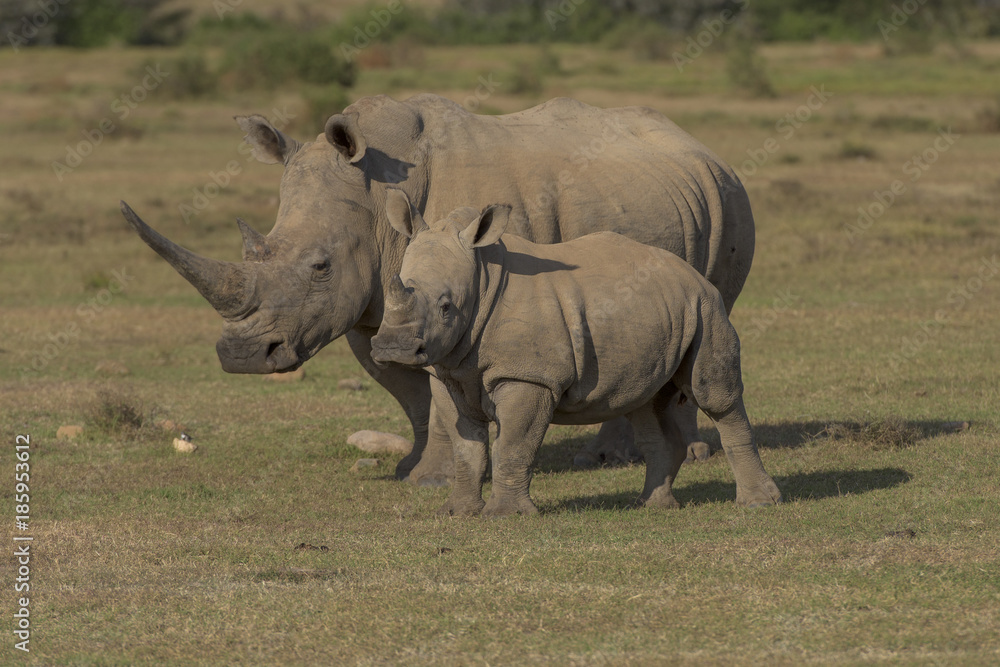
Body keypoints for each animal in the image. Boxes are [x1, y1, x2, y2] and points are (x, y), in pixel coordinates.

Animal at [120, 94, 755, 485]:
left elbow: (438, 388)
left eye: (321, 266)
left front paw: (434, 480)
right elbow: (411, 392)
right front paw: (415, 472)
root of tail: (698, 145)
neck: (374, 194)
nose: (243, 356)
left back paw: (666, 455)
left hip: (729, 199)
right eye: (261, 246)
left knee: (707, 310)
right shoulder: (373, 307)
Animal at [370, 192, 781, 516]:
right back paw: (651, 506)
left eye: (446, 307)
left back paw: (758, 503)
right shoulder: (448, 370)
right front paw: (457, 513)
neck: (482, 277)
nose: (392, 347)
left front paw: (505, 516)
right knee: (645, 402)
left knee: (715, 396)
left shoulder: (529, 375)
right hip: (663, 314)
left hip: (705, 307)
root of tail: (691, 273)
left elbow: (513, 445)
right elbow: (467, 449)